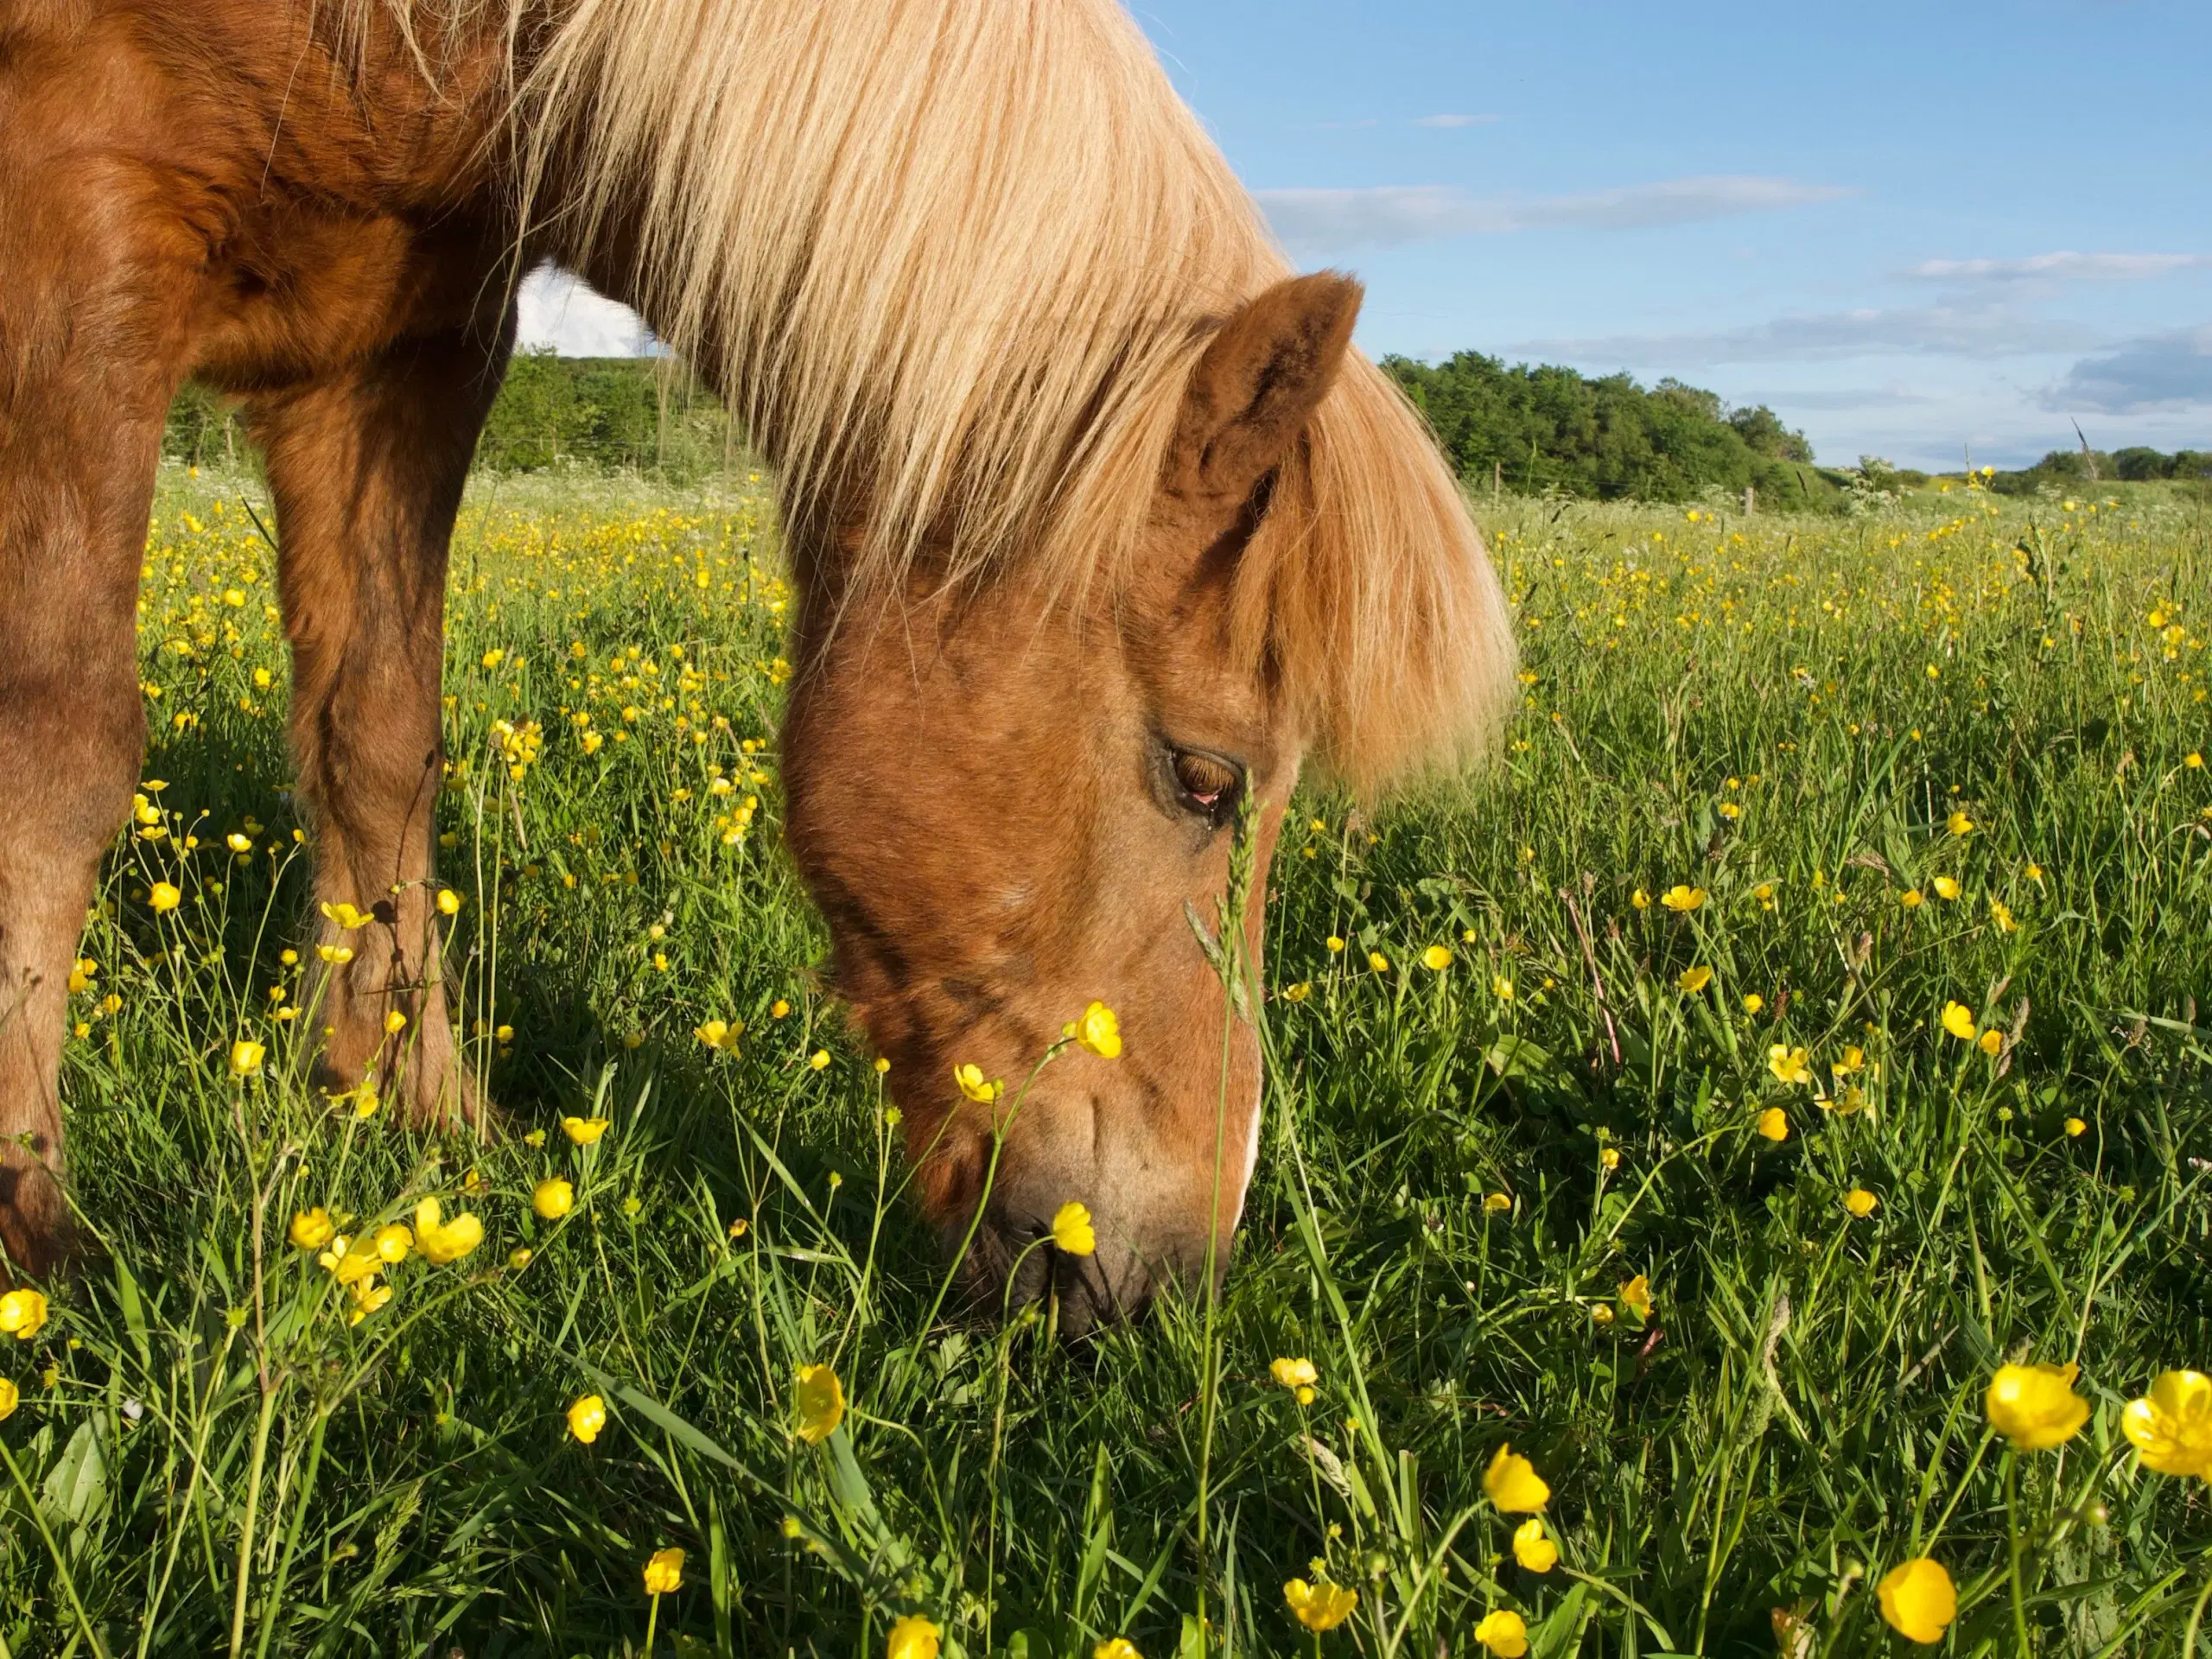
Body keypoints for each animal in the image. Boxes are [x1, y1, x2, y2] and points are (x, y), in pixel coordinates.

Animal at [0, 0, 1513, 1327]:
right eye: (1206, 779)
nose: (1170, 1286)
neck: (446, 39)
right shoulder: (72, 234)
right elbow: (61, 748)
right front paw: (32, 1224)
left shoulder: (403, 350)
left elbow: (377, 745)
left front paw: (418, 1116)